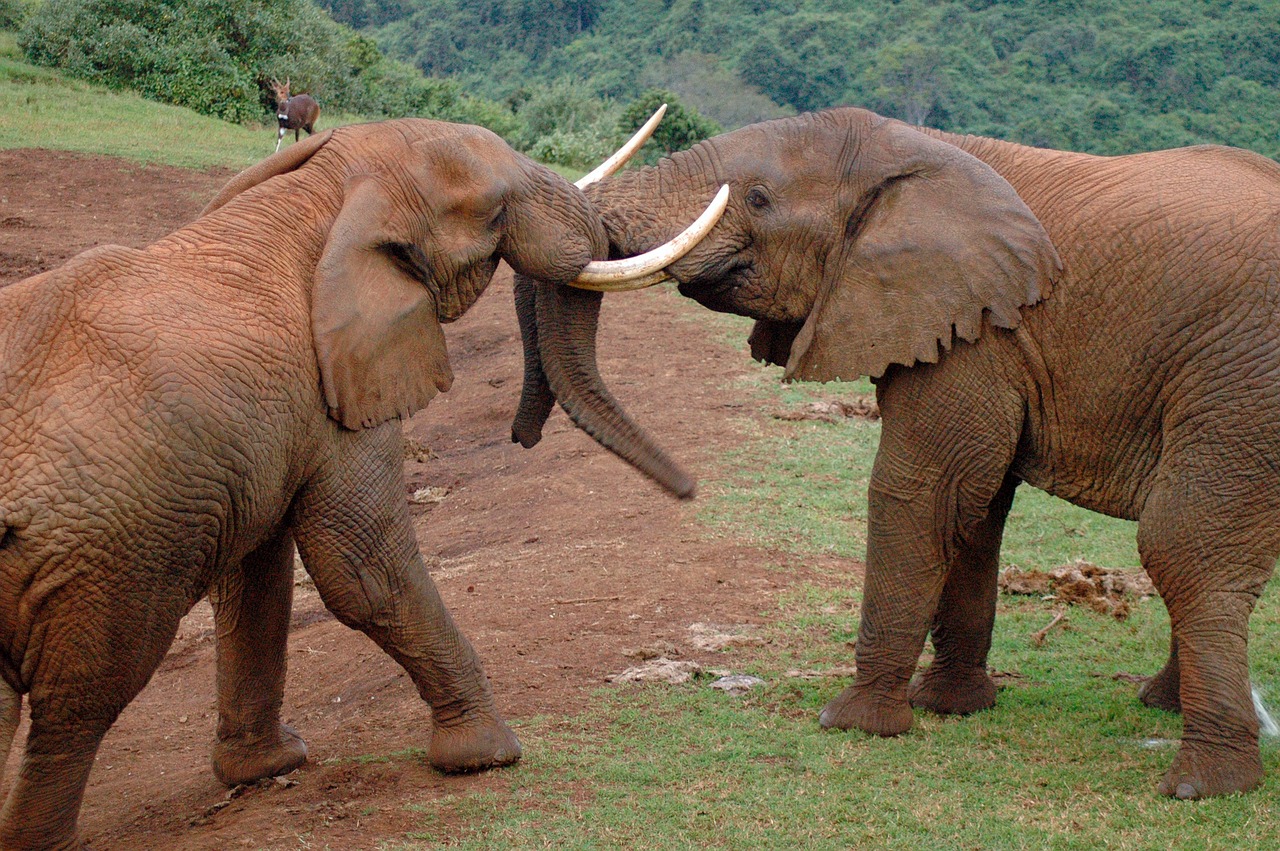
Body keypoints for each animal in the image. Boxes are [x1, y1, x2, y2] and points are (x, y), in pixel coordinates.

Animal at [0, 116, 710, 849]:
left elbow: (257, 579)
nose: (688, 490)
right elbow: (363, 567)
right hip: (108, 552)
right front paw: (489, 755)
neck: (326, 189)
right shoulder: (338, 385)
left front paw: (271, 766)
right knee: (80, 700)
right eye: (492, 210)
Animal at [569, 106, 1280, 799]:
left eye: (758, 198)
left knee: (1182, 544)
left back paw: (1202, 783)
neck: (909, 145)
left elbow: (923, 491)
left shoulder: (975, 328)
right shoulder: (977, 325)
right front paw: (949, 706)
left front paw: (855, 723)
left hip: (1240, 380)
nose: (684, 487)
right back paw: (1163, 707)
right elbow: (976, 509)